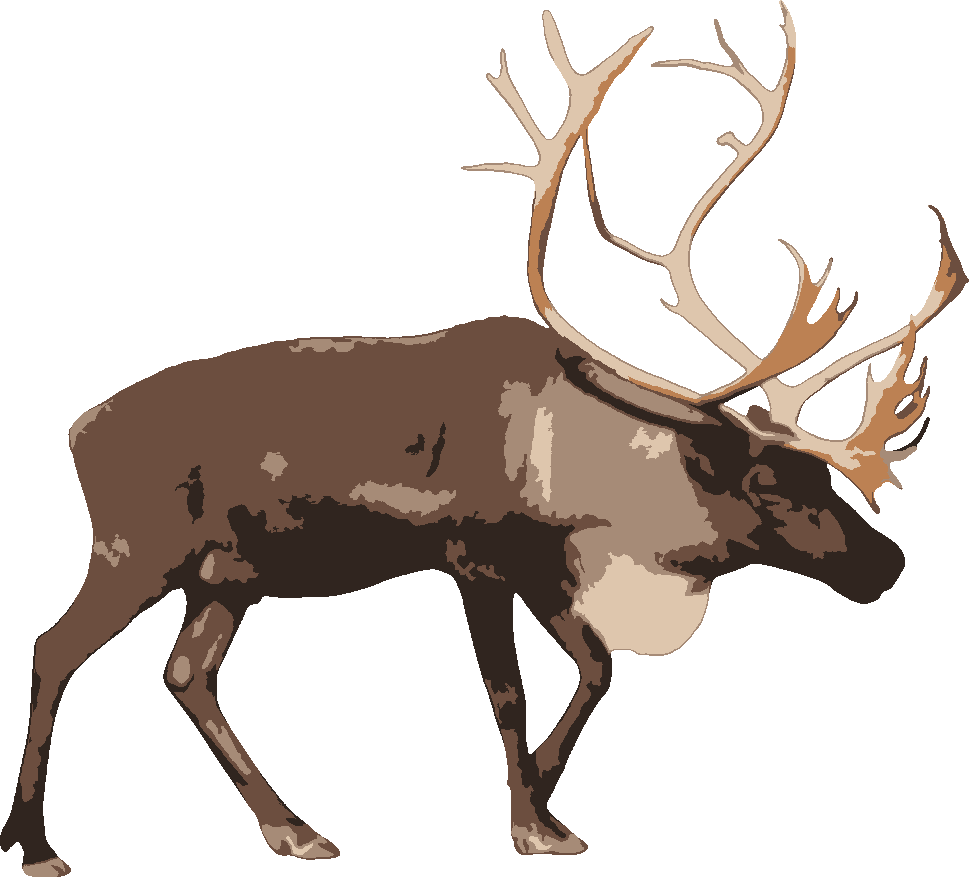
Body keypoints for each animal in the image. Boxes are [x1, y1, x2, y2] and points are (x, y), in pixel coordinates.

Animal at [2, 3, 963, 873]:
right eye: (771, 481)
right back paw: (36, 844)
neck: (589, 481)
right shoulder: (473, 552)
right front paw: (529, 823)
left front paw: (545, 799)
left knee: (186, 673)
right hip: (137, 546)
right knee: (58, 646)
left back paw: (296, 829)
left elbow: (596, 668)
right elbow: (508, 688)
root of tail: (77, 427)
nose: (888, 564)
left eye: (822, 476)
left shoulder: (544, 563)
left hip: (228, 572)